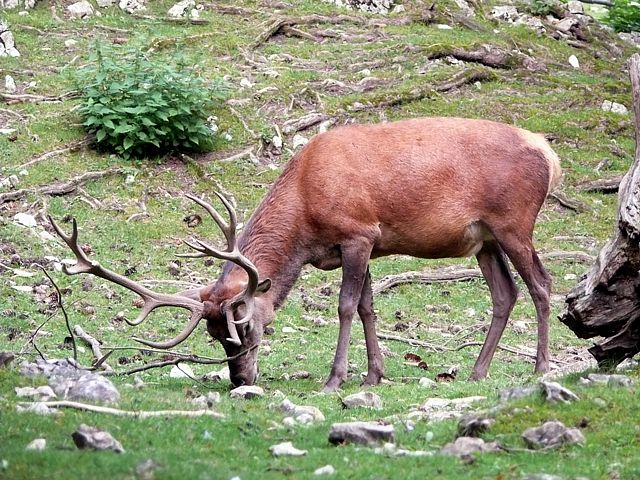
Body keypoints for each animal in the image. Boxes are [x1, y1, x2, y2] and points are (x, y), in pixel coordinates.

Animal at [48, 118, 560, 392]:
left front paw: (335, 379)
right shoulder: (362, 244)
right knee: (504, 294)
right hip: (485, 239)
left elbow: (347, 306)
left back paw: (539, 368)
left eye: (248, 327)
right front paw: (373, 375)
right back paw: (478, 371)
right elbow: (369, 307)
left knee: (541, 284)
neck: (305, 215)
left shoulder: (358, 232)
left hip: (514, 223)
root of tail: (549, 153)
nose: (241, 380)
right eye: (213, 337)